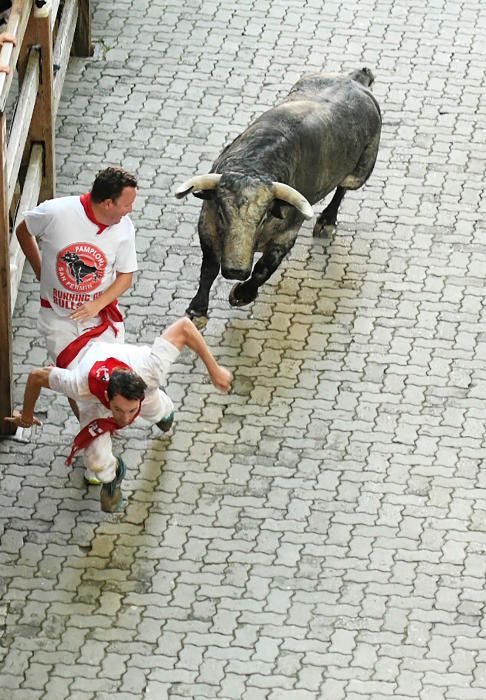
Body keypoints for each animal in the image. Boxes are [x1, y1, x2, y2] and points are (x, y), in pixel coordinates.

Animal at [177, 67, 382, 326]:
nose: (236, 271)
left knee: (343, 187)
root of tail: (356, 79)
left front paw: (242, 294)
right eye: (223, 213)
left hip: (359, 173)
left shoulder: (287, 234)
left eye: (265, 216)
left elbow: (265, 268)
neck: (255, 164)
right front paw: (197, 310)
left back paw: (327, 220)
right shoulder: (208, 224)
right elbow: (210, 267)